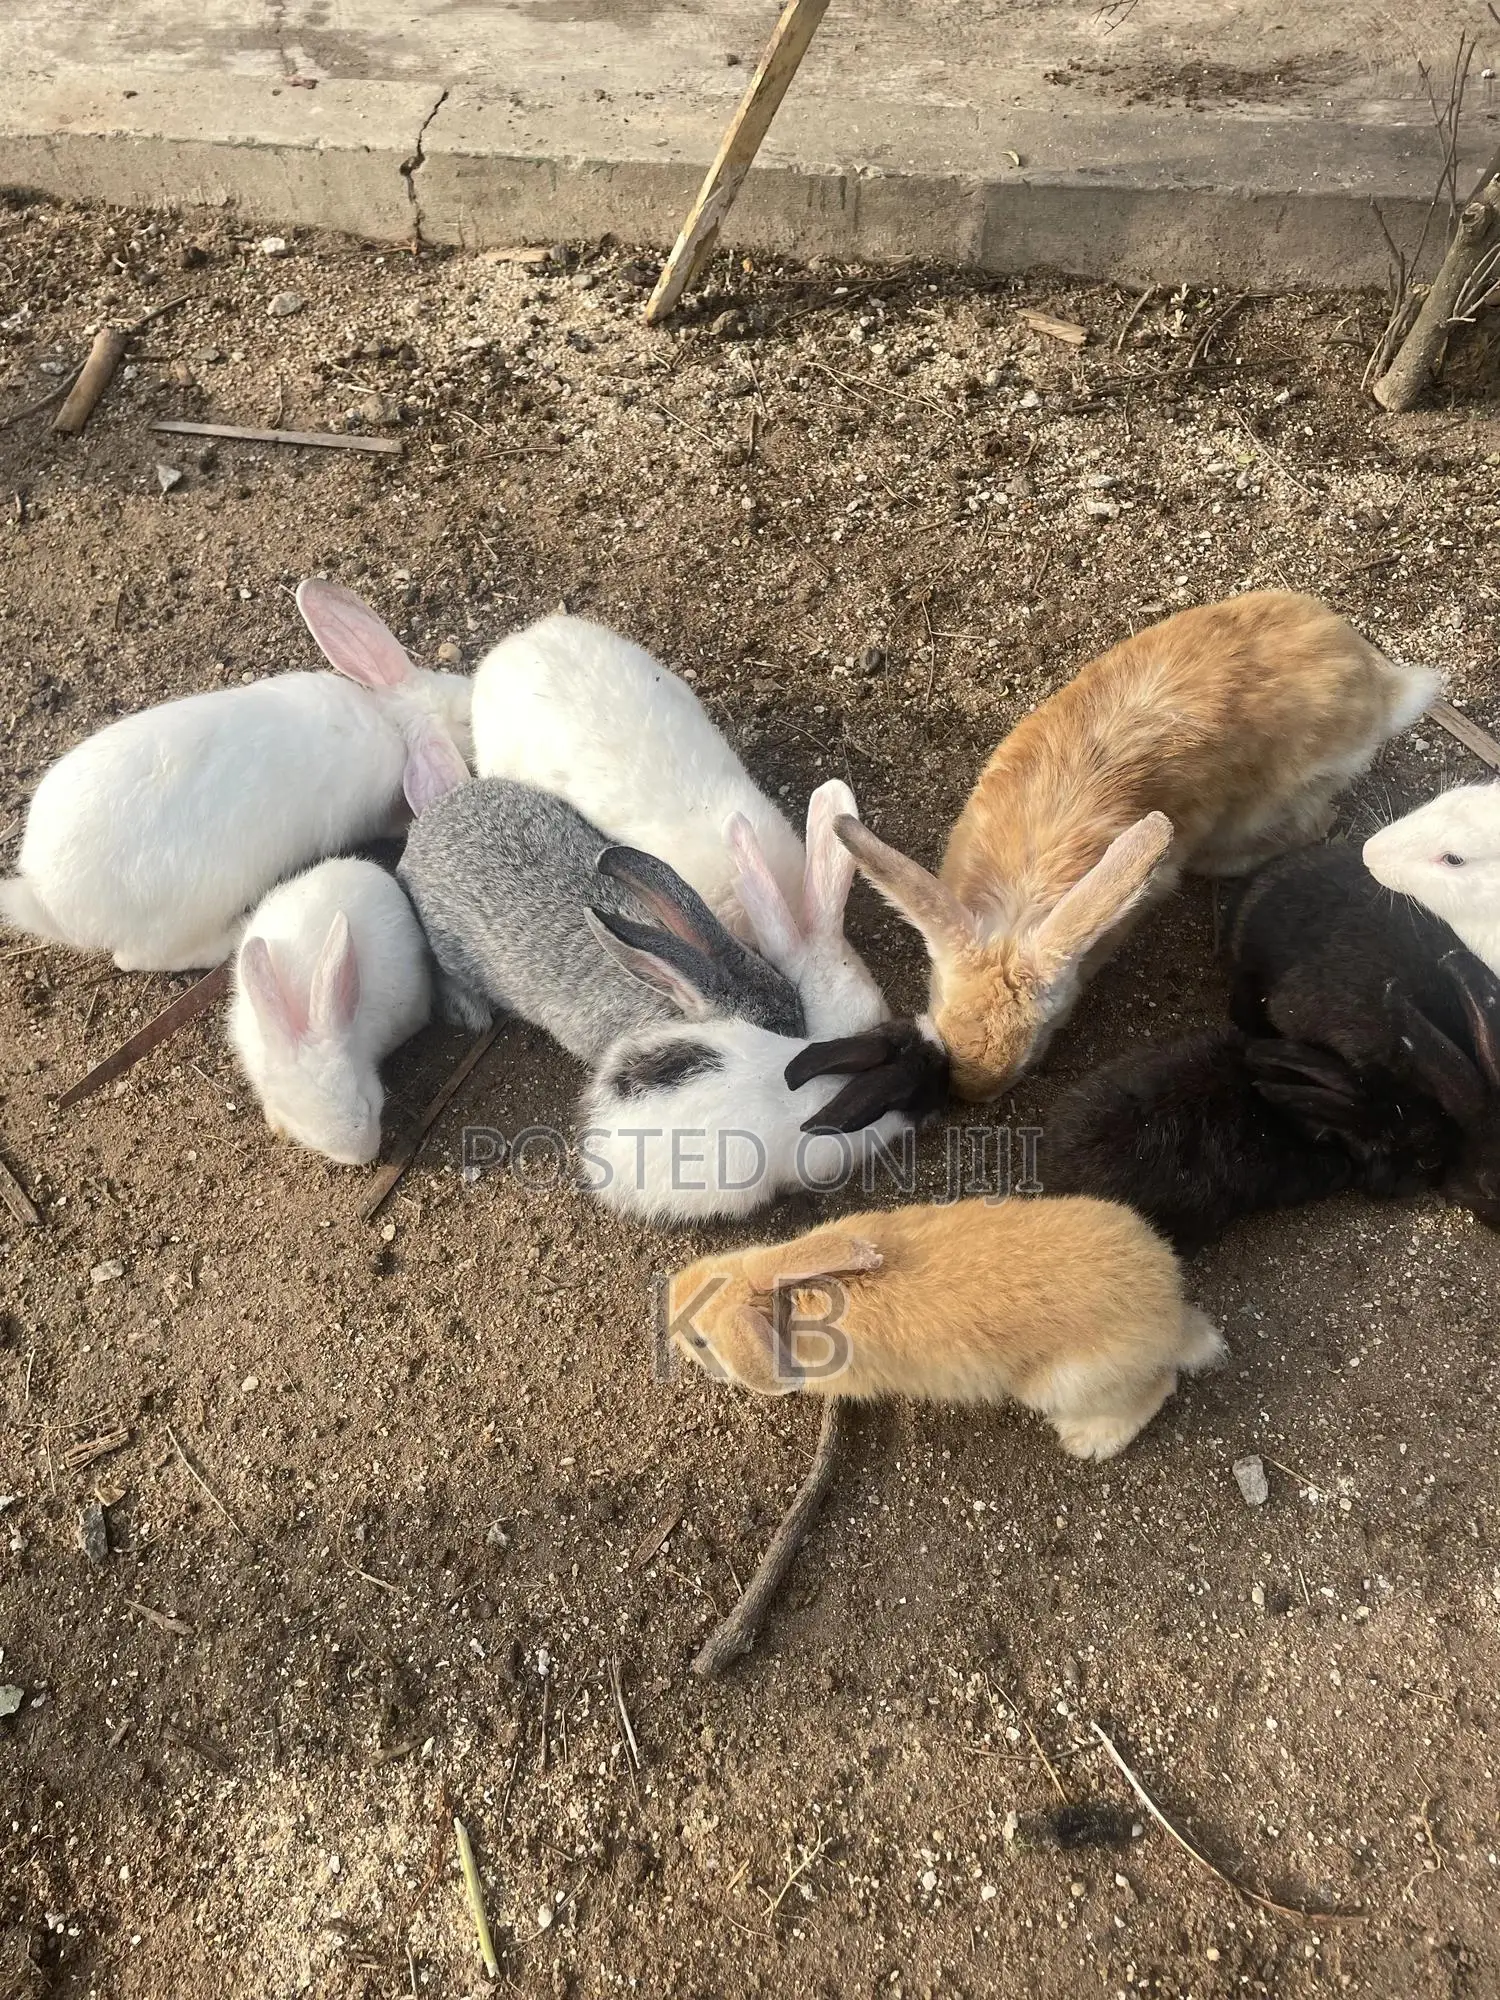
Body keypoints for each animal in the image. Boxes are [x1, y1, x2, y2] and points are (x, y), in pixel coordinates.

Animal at [665, 1199, 1223, 1459]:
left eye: (699, 1340)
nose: (669, 1308)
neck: (787, 1304)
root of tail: (1170, 1316)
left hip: (1065, 1384)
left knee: (1161, 1385)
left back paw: (1087, 1440)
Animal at [832, 592, 1438, 1104]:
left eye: (1041, 1041)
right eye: (938, 1007)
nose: (975, 1094)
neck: (1023, 896)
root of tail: (1382, 687)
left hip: (1278, 799)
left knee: (1314, 822)